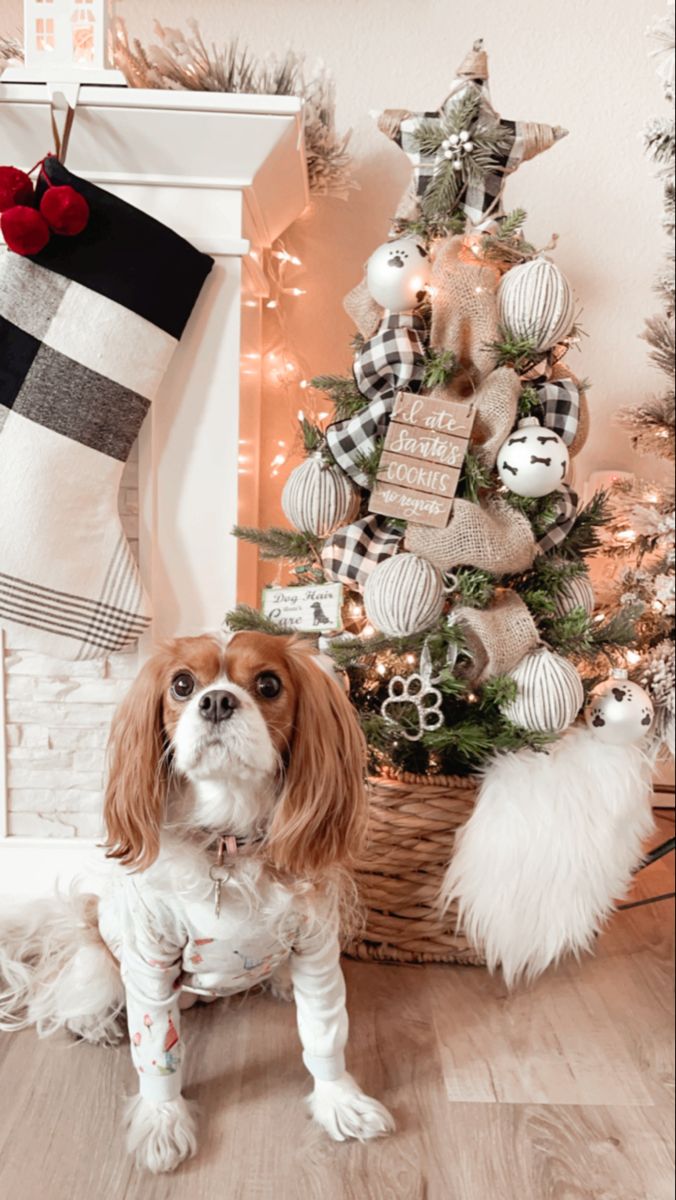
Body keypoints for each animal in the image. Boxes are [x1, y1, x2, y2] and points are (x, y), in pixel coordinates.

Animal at [0, 633, 393, 1176]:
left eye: (269, 684)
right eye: (183, 685)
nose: (217, 701)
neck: (227, 840)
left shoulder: (317, 953)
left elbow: (324, 1031)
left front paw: (340, 1100)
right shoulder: (150, 962)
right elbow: (155, 1053)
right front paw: (162, 1121)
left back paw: (277, 979)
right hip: (102, 952)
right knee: (74, 985)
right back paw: (90, 1021)